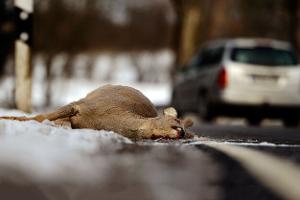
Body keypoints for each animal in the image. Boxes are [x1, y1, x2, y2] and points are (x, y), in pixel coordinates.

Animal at [0, 84, 193, 139]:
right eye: (177, 122)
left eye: (184, 127)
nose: (183, 132)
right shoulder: (80, 104)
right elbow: (41, 115)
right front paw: (7, 117)